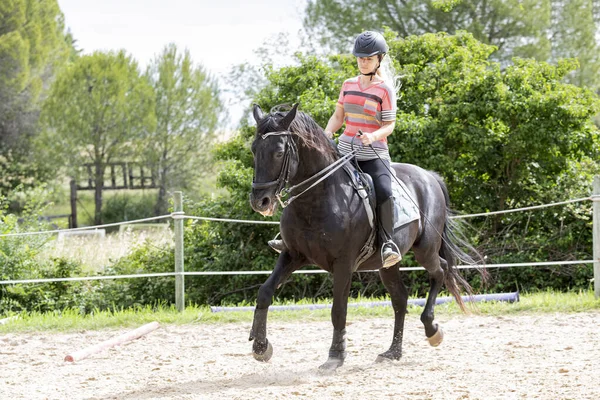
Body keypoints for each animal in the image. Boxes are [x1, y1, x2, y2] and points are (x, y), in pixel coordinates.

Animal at [248, 104, 482, 372]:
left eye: (278, 152)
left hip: (426, 249)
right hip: (387, 265)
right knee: (400, 299)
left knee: (440, 271)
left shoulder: (343, 264)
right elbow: (265, 292)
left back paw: (432, 329)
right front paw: (261, 347)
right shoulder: (292, 255)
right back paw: (393, 352)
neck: (319, 198)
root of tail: (430, 176)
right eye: (254, 149)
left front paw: (335, 356)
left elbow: (338, 310)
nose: (260, 201)